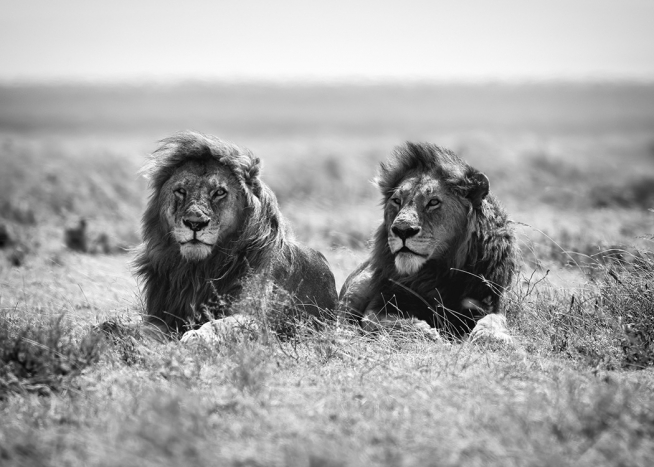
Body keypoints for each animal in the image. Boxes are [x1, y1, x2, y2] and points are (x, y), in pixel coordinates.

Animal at [134, 131, 338, 342]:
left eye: (219, 192)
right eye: (181, 191)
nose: (195, 223)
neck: (199, 270)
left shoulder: (255, 317)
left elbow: (219, 324)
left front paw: (196, 336)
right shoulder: (161, 315)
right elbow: (142, 329)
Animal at [339, 142, 518, 342]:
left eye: (433, 202)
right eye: (396, 200)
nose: (402, 230)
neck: (437, 273)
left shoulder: (490, 300)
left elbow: (494, 319)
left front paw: (493, 337)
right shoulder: (381, 303)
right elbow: (385, 321)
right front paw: (429, 334)